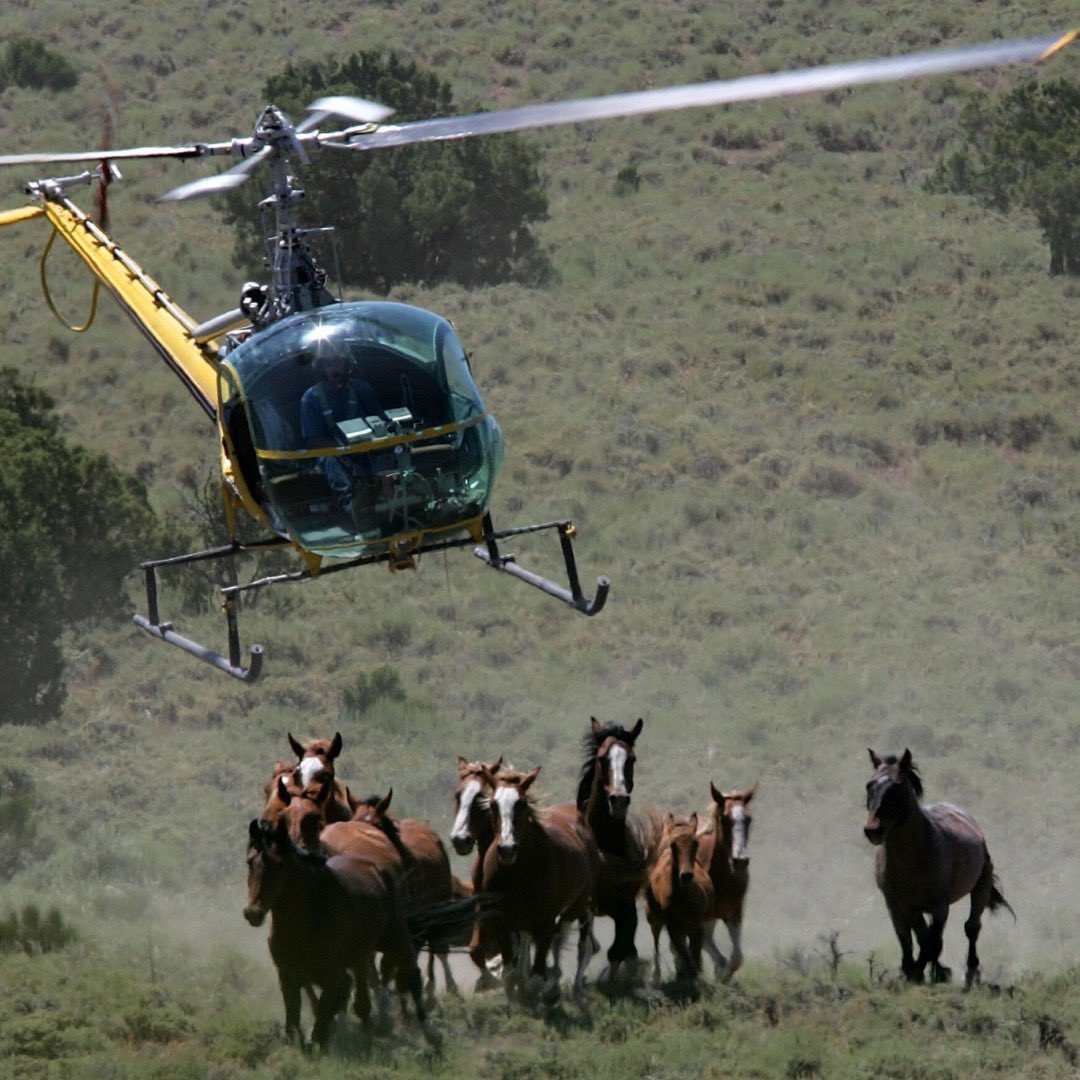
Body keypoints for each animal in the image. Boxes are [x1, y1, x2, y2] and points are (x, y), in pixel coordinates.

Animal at [244, 816, 439, 1049]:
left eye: (279, 864)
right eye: (249, 862)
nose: (252, 913)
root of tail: (378, 867)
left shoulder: (333, 974)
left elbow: (327, 1009)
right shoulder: (288, 972)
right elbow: (295, 1018)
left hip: (396, 938)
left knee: (411, 974)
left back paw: (430, 1034)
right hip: (361, 951)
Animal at [473, 766, 600, 1002]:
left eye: (521, 804)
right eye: (493, 804)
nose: (507, 849)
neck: (517, 874)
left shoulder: (545, 921)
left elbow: (536, 978)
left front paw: (539, 990)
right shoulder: (500, 919)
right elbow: (509, 972)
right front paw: (514, 994)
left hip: (575, 908)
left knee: (567, 940)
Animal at [644, 813, 714, 991]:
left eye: (696, 843)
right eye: (673, 844)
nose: (686, 875)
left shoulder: (696, 922)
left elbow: (693, 951)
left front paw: (694, 975)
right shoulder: (672, 923)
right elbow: (683, 950)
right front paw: (686, 975)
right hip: (653, 916)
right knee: (657, 937)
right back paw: (657, 975)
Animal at [697, 781, 756, 979]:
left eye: (748, 819)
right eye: (723, 819)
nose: (740, 861)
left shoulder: (734, 913)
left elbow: (737, 957)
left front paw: (723, 975)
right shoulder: (702, 916)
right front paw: (721, 973)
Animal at [865, 748, 1014, 987]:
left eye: (897, 787)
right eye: (869, 785)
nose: (873, 830)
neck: (911, 859)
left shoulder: (940, 906)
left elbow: (930, 942)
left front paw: (925, 972)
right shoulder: (898, 905)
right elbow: (910, 938)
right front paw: (913, 971)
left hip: (979, 888)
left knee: (971, 928)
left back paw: (971, 969)